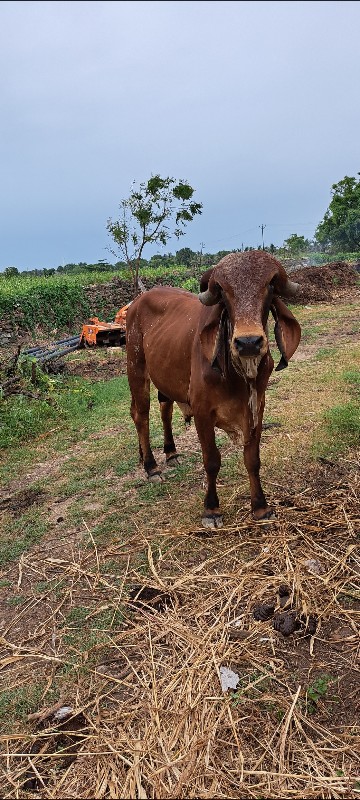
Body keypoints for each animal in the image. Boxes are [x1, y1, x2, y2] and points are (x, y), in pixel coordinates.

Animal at [126, 250, 300, 524]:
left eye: (270, 285)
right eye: (223, 290)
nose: (248, 342)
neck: (237, 374)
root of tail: (137, 302)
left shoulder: (257, 407)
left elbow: (252, 458)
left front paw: (260, 507)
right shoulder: (202, 412)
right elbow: (211, 460)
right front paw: (211, 509)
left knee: (165, 409)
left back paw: (170, 453)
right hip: (136, 368)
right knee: (140, 414)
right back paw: (151, 465)